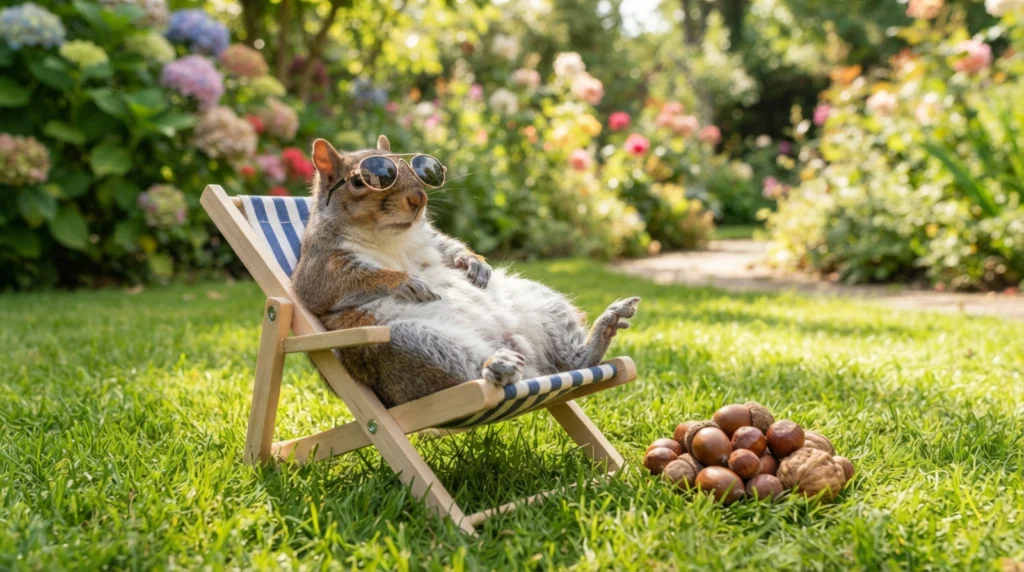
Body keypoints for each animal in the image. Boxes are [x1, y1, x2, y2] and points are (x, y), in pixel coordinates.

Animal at [292, 136, 640, 407]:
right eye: (361, 181)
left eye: (419, 170)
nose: (419, 198)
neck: (391, 237)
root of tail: (528, 358)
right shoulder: (319, 267)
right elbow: (344, 283)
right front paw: (407, 282)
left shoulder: (430, 238)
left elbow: (450, 248)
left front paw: (474, 262)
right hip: (410, 342)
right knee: (475, 377)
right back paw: (497, 366)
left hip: (540, 302)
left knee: (568, 359)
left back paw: (601, 333)